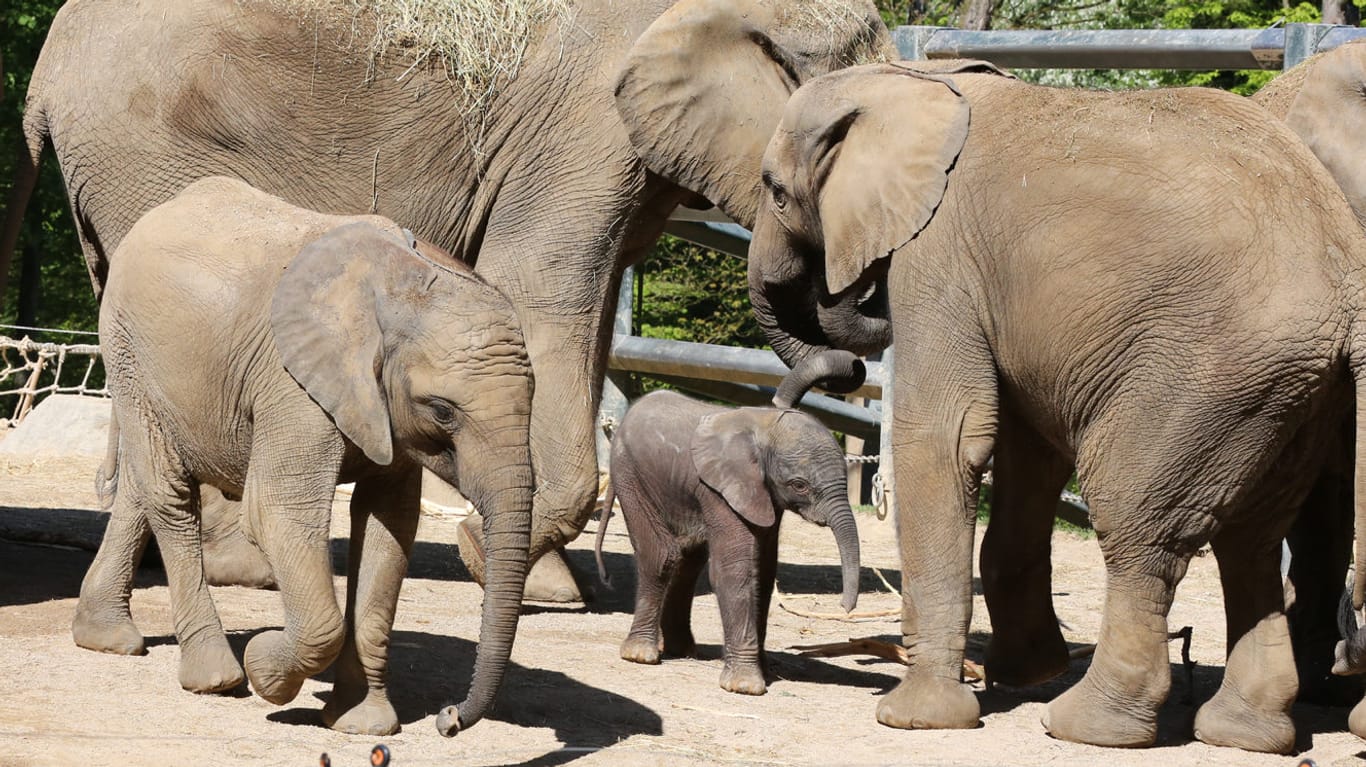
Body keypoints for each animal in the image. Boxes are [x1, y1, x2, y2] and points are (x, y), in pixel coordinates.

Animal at [0, 0, 890, 604]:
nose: (844, 367)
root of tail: (43, 75)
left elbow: (596, 310)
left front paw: (541, 573)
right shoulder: (583, 130)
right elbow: (541, 285)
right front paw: (488, 554)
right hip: (146, 150)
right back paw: (238, 564)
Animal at [85, 176, 532, 732]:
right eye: (443, 411)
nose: (448, 718)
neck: (405, 281)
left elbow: (388, 524)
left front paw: (361, 725)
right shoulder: (292, 384)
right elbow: (279, 512)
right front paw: (264, 668)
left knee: (141, 488)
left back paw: (105, 638)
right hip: (126, 347)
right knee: (169, 494)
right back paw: (217, 678)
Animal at [592, 350, 857, 697]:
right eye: (799, 485)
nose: (844, 608)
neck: (761, 427)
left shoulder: (762, 495)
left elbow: (762, 572)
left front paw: (764, 672)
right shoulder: (719, 490)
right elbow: (734, 571)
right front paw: (746, 686)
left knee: (688, 559)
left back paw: (682, 651)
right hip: (630, 474)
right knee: (662, 556)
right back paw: (641, 654)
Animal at [743, 61, 1366, 754]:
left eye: (774, 191)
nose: (849, 364)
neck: (918, 79)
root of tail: (1348, 277)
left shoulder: (938, 253)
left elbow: (948, 436)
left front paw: (914, 717)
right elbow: (1026, 452)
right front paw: (1025, 672)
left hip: (1207, 375)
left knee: (1137, 521)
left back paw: (1087, 725)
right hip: (1289, 392)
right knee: (1251, 539)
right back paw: (1242, 733)